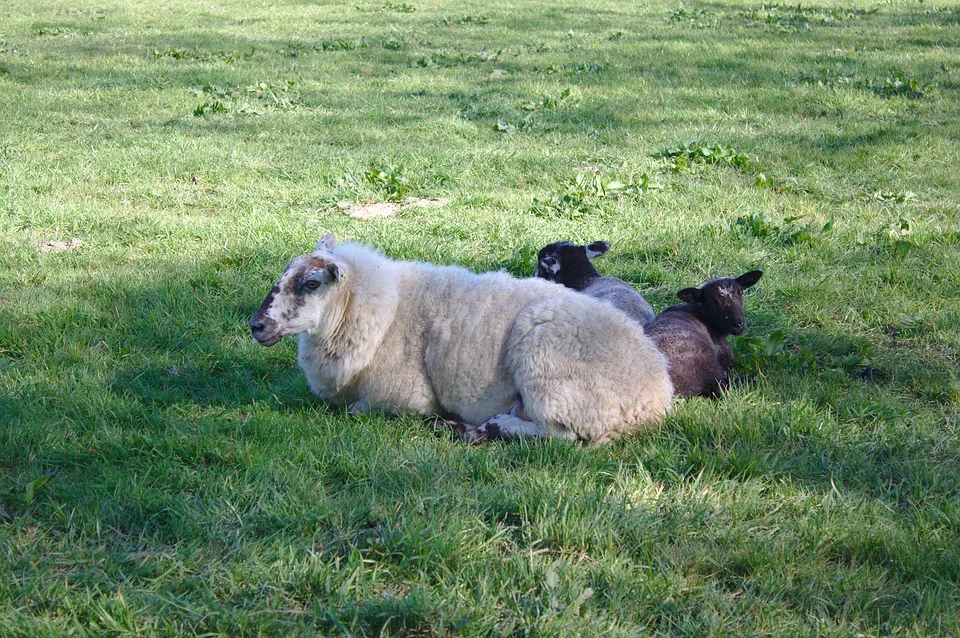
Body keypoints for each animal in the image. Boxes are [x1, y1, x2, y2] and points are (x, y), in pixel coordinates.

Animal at [249, 235, 676, 444]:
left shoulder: (404, 397)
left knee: (562, 435)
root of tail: (656, 394)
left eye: (311, 283)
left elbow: (358, 410)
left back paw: (487, 427)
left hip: (557, 380)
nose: (256, 325)